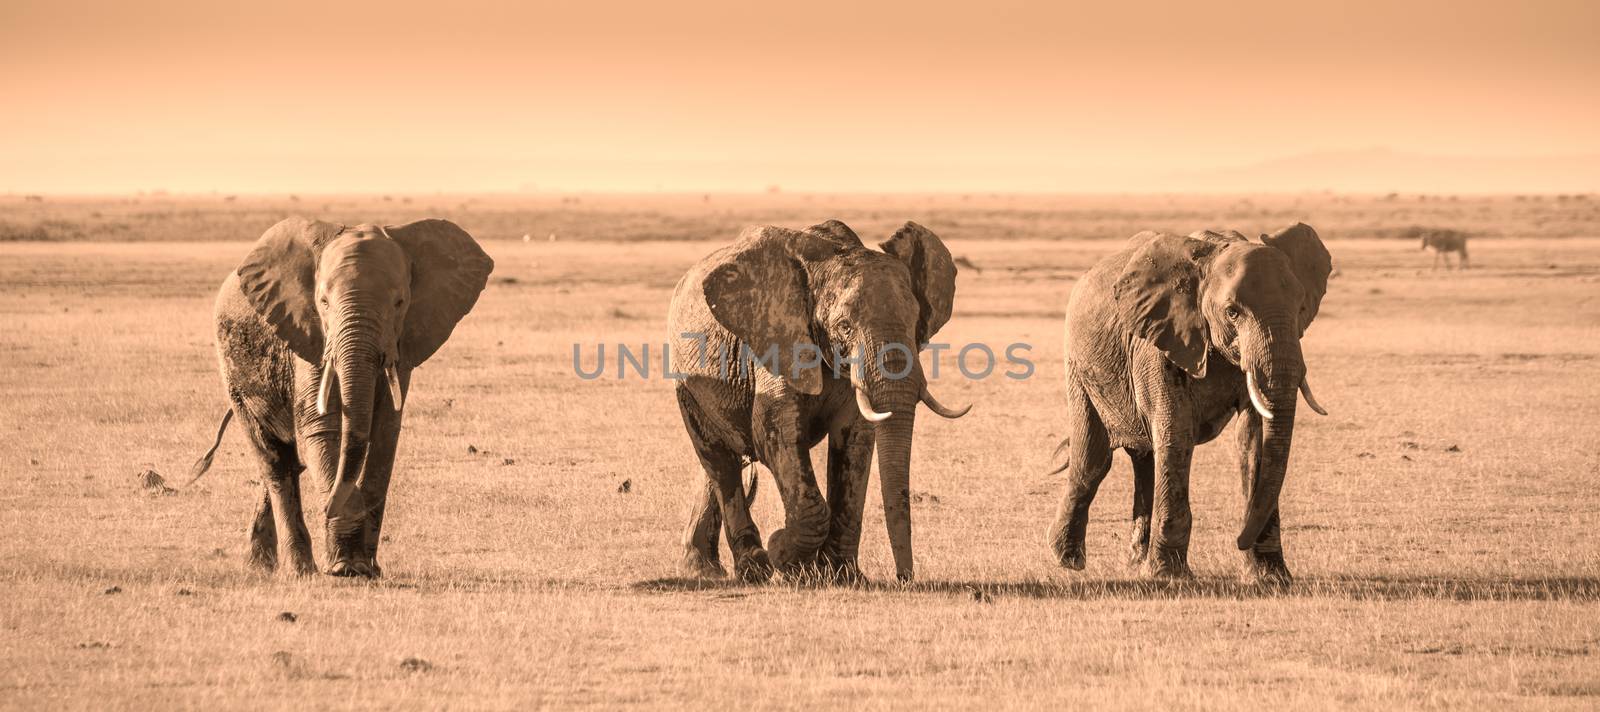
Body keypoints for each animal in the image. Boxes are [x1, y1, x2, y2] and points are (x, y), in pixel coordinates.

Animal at [188, 217, 486, 576]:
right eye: (324, 303)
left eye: (400, 303)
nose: (332, 507)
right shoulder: (308, 334)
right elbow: (322, 427)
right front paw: (345, 566)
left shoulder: (401, 343)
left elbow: (385, 433)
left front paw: (363, 567)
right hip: (233, 369)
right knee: (274, 460)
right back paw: (297, 570)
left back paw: (264, 565)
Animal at [668, 219, 966, 579]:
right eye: (845, 326)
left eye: (915, 321)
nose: (903, 577)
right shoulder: (775, 336)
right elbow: (774, 435)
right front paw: (783, 554)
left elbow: (855, 440)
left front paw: (842, 575)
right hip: (685, 379)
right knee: (719, 459)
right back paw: (749, 567)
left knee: (722, 460)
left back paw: (704, 568)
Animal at [1043, 224, 1331, 582]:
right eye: (1232, 312)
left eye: (1301, 308)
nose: (1238, 540)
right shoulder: (1157, 340)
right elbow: (1176, 432)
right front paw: (1169, 577)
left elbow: (1253, 440)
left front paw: (1271, 578)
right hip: (1078, 364)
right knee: (1092, 460)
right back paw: (1068, 559)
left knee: (1144, 458)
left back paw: (1135, 562)